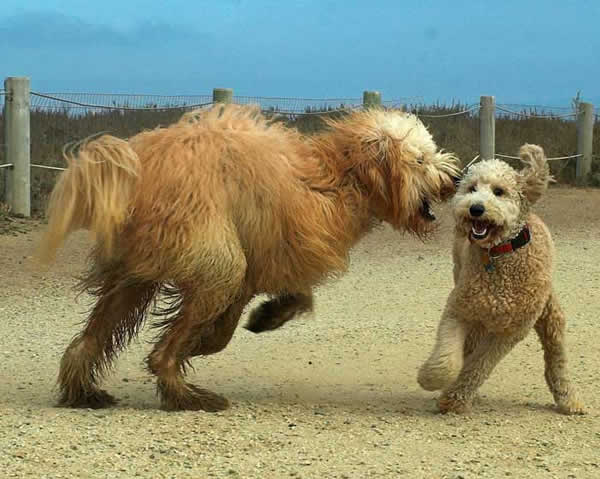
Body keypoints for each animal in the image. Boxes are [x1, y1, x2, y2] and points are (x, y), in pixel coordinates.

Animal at [414, 144, 584, 414]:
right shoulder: (459, 310)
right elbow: (448, 356)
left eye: (499, 192)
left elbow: (478, 366)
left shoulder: (509, 332)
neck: (499, 255)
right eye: (472, 188)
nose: (475, 208)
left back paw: (568, 398)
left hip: (550, 317)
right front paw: (432, 378)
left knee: (556, 359)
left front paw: (454, 398)